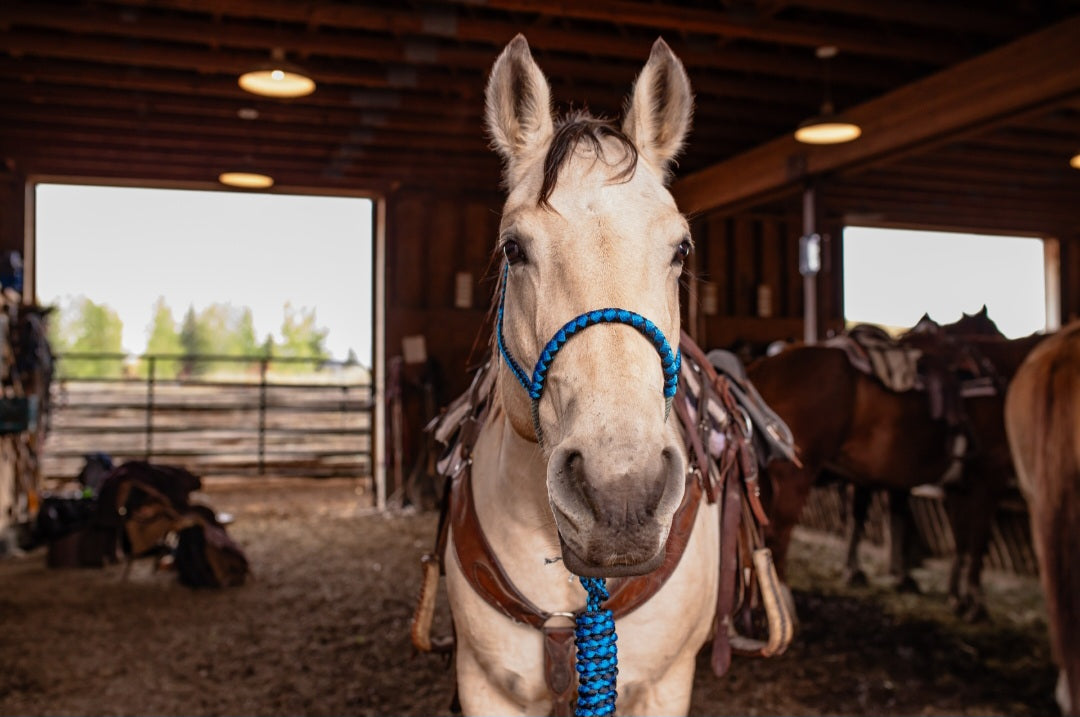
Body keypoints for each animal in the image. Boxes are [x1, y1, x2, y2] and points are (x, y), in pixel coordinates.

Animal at [751, 328, 1045, 617]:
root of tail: (763, 368)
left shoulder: (959, 486)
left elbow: (961, 542)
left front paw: (956, 597)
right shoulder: (989, 478)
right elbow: (978, 543)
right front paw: (975, 604)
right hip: (795, 478)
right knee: (777, 537)